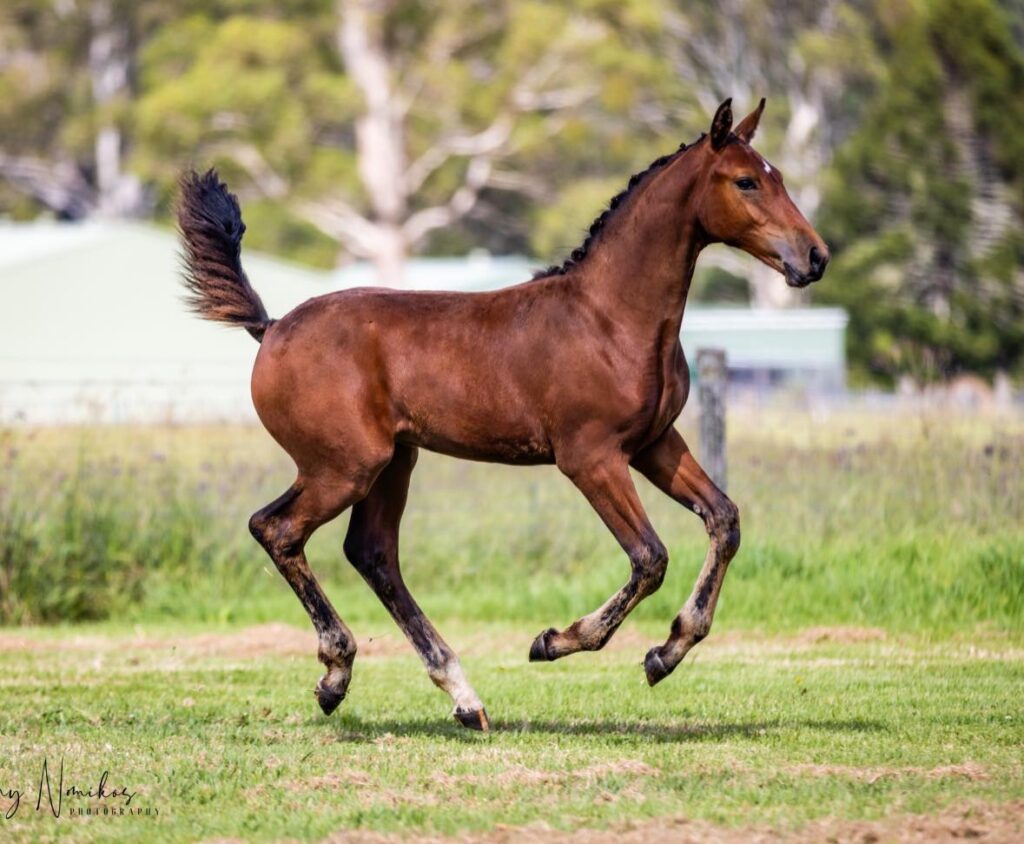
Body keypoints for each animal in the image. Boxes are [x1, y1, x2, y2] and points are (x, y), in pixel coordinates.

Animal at [178, 98, 829, 731]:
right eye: (746, 181)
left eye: (777, 176)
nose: (815, 257)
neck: (610, 318)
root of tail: (272, 328)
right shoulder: (590, 458)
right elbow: (651, 558)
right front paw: (557, 641)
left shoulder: (654, 445)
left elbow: (724, 520)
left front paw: (666, 653)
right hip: (344, 467)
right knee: (278, 529)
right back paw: (337, 674)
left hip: (394, 463)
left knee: (372, 554)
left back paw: (462, 698)